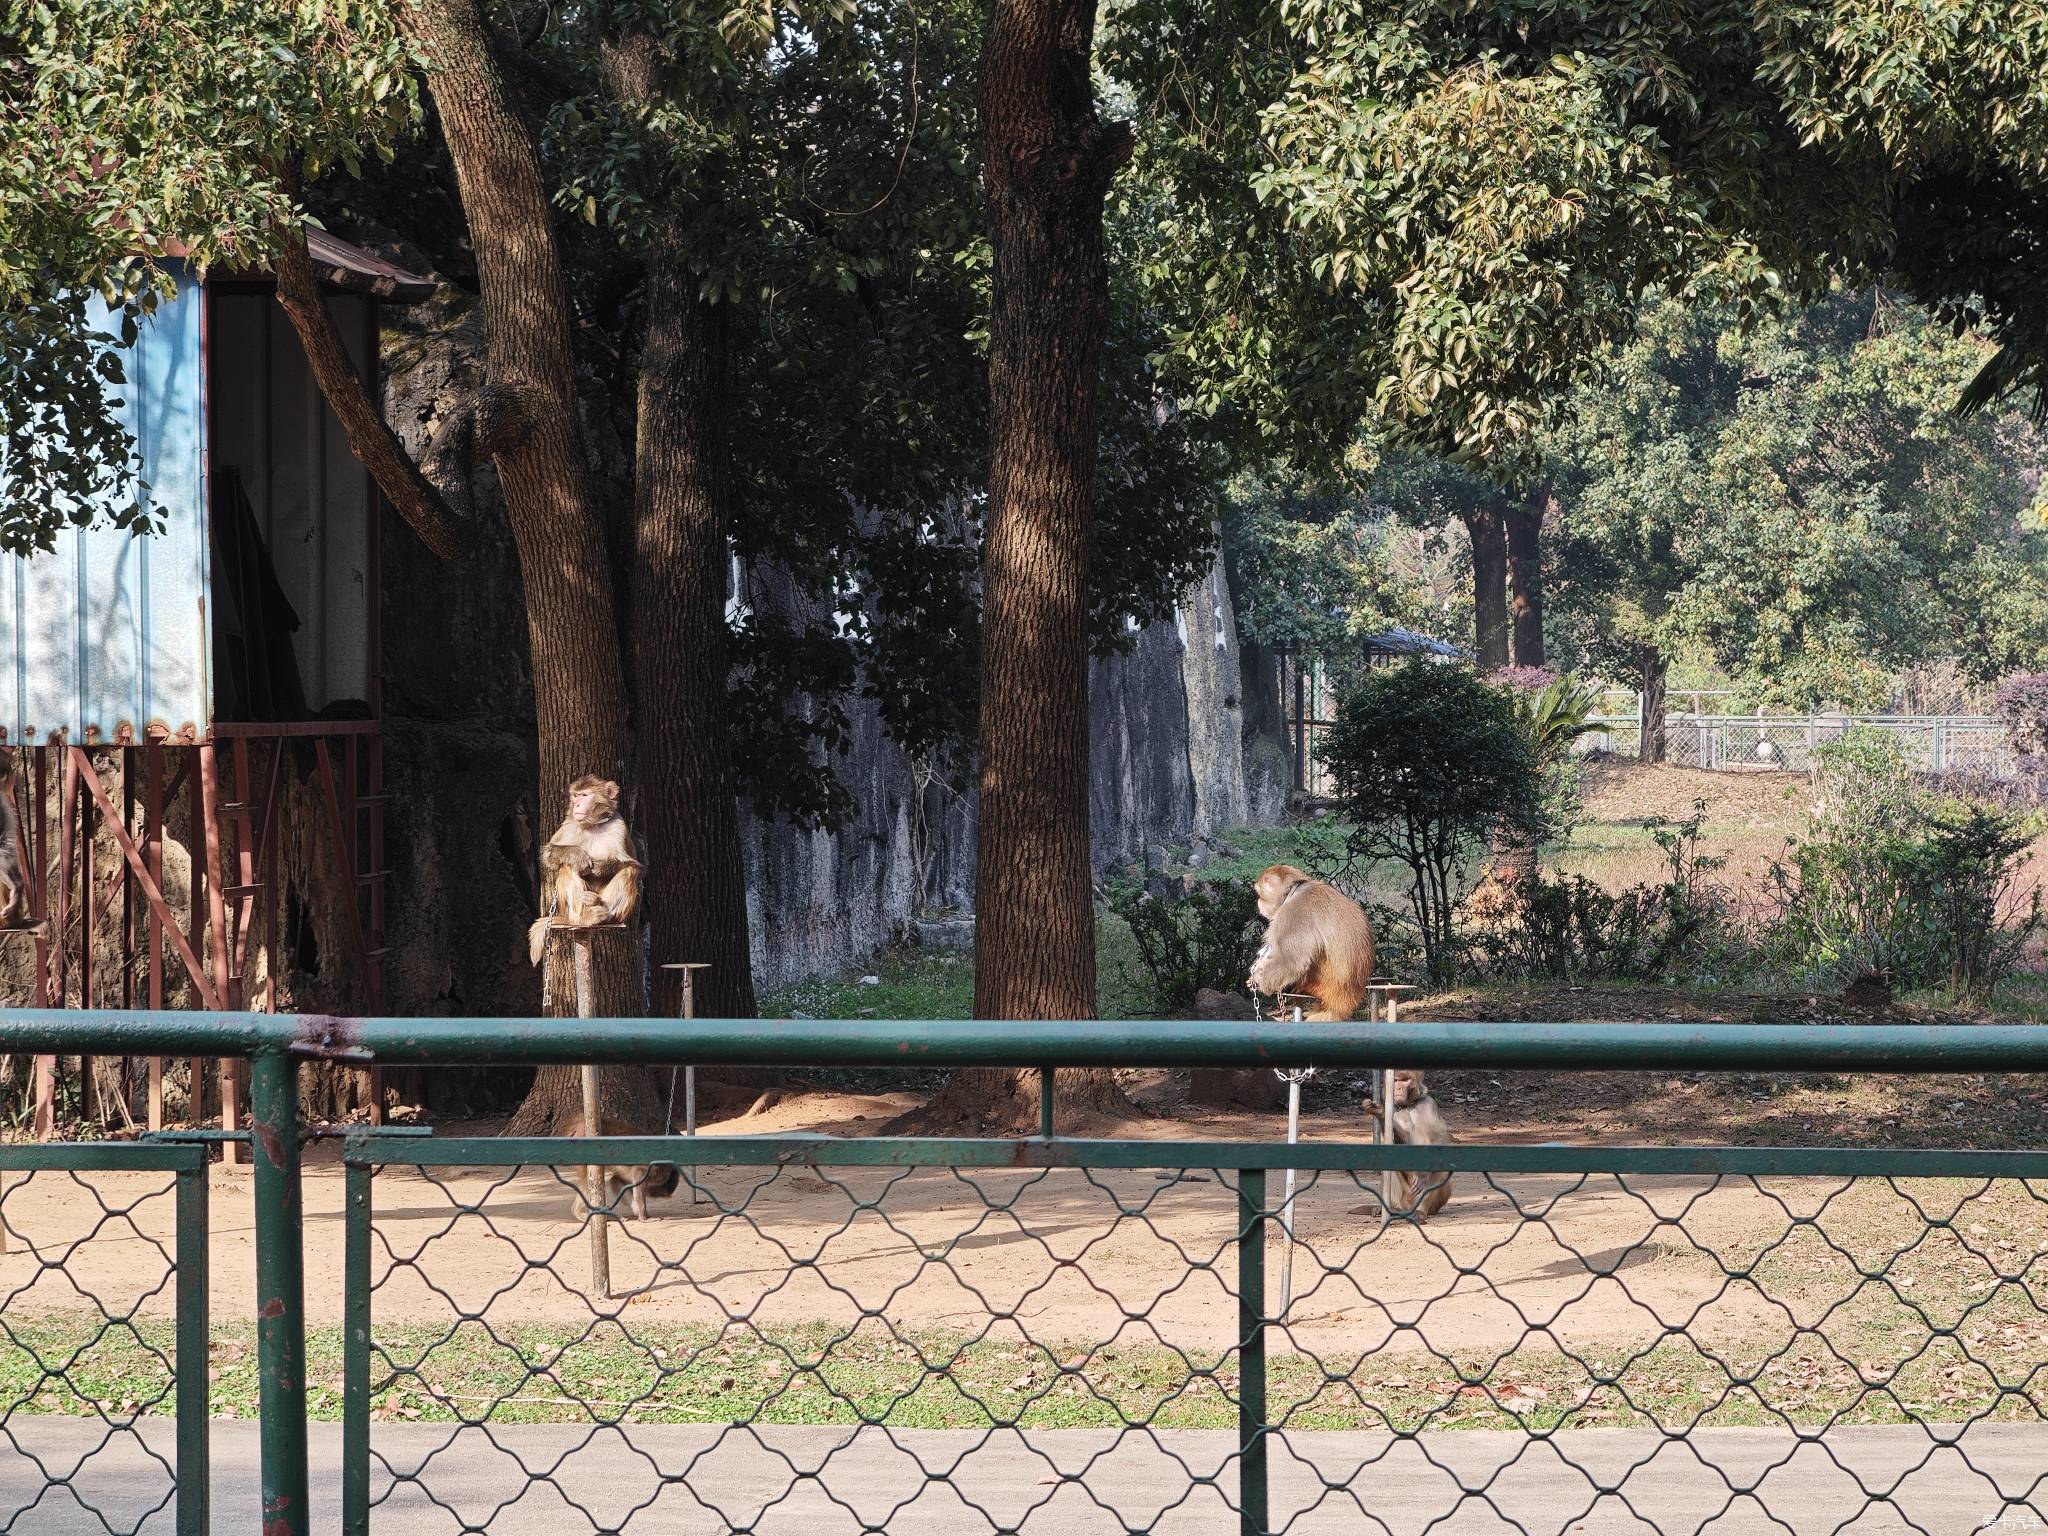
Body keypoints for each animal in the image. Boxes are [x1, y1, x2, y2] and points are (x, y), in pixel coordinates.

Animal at [532, 774, 643, 966]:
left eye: (584, 796)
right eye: (576, 796)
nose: (576, 805)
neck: (592, 825)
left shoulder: (619, 826)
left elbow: (629, 863)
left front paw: (598, 868)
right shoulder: (569, 824)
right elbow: (549, 855)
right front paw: (577, 855)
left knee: (629, 872)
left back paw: (604, 912)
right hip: (568, 910)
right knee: (567, 867)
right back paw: (586, 917)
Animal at [1245, 868, 1376, 1024]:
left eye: (1259, 894)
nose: (1258, 902)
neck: (1293, 890)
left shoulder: (1293, 913)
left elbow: (1291, 961)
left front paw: (1258, 979)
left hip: (1324, 983)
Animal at [1384, 1073, 1449, 1228]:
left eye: (1405, 1080)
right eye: (1396, 1081)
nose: (1397, 1088)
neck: (1408, 1105)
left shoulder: (1429, 1104)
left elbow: (1439, 1139)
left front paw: (1422, 1175)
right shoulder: (1393, 1112)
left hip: (1436, 1202)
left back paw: (1420, 1211)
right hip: (1404, 1194)